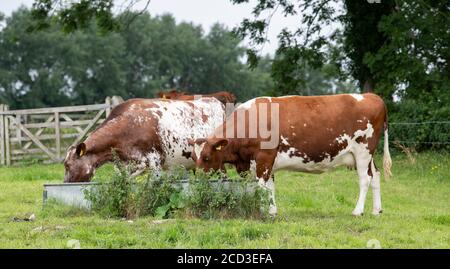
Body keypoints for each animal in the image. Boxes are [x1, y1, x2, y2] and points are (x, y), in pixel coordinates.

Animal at [192, 92, 392, 216]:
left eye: (207, 157)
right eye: (195, 157)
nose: (198, 179)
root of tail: (371, 96)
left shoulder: (264, 158)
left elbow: (261, 187)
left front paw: (261, 211)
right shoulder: (266, 163)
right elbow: (270, 187)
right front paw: (272, 211)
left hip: (363, 150)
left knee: (365, 179)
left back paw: (358, 211)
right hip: (367, 155)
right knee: (375, 175)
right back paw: (377, 210)